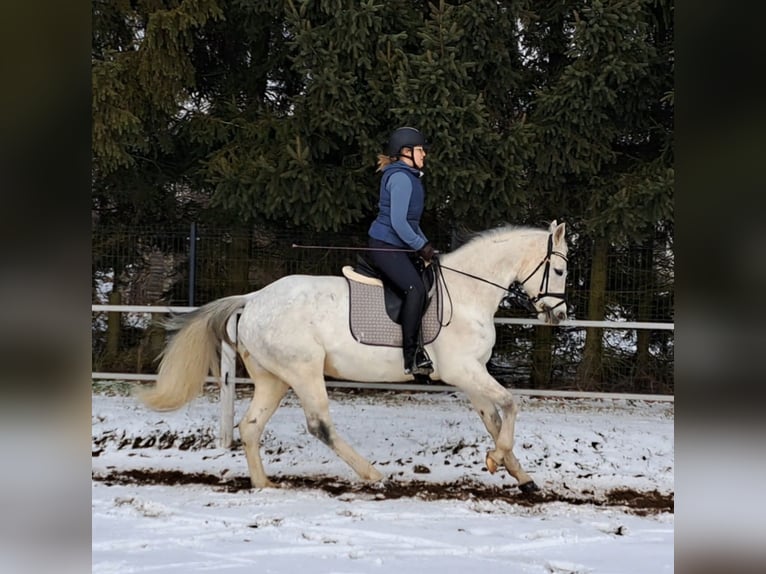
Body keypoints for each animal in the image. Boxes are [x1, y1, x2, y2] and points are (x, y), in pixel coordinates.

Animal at [138, 220, 568, 493]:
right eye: (561, 271)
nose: (559, 315)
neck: (467, 293)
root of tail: (253, 298)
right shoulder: (462, 370)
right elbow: (509, 406)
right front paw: (498, 461)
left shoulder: (472, 373)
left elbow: (494, 420)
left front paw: (520, 476)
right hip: (304, 371)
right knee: (319, 425)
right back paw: (373, 475)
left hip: (274, 379)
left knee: (250, 426)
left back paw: (264, 485)